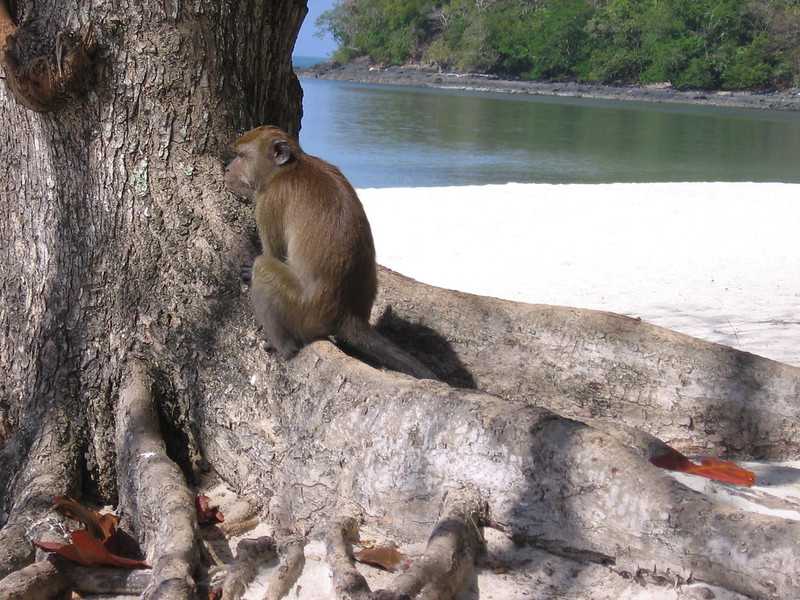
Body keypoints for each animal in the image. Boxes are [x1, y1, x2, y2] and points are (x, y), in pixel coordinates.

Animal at [225, 126, 438, 380]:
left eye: (241, 156)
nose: (228, 168)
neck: (288, 169)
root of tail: (349, 316)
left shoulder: (269, 201)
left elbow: (273, 254)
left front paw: (249, 271)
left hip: (303, 311)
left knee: (265, 268)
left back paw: (284, 347)